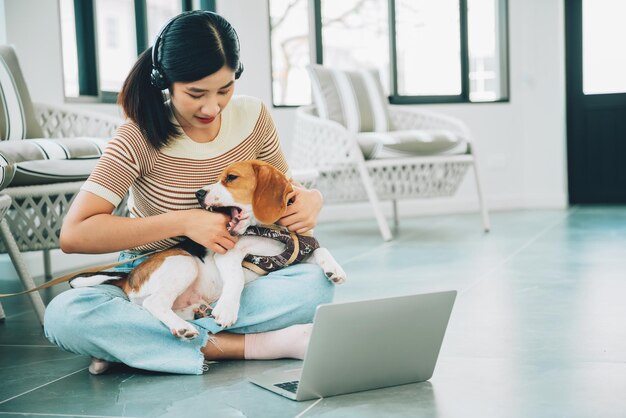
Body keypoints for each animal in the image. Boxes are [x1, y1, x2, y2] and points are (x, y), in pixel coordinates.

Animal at [74, 160, 346, 340]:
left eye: (231, 178)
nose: (199, 193)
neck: (272, 230)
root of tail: (128, 277)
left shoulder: (298, 254)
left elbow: (321, 250)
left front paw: (335, 269)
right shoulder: (227, 255)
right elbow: (236, 279)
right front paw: (227, 309)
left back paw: (199, 312)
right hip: (184, 263)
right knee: (155, 303)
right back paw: (184, 327)